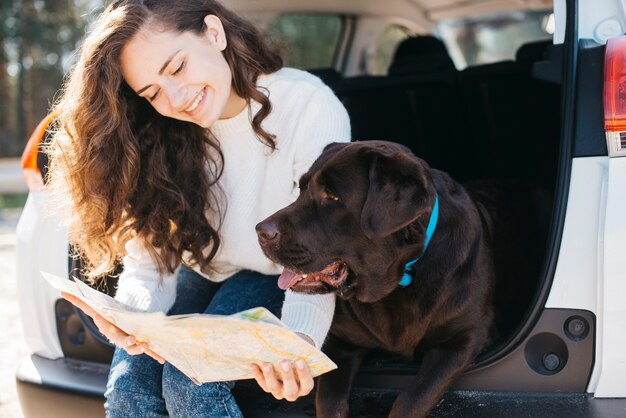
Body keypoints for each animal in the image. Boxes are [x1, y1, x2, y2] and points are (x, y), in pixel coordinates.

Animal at [255, 142, 498, 416]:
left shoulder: (467, 336)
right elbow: (329, 400)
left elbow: (414, 398)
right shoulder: (339, 339)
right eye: (302, 188)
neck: (400, 280)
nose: (261, 231)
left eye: (333, 196)